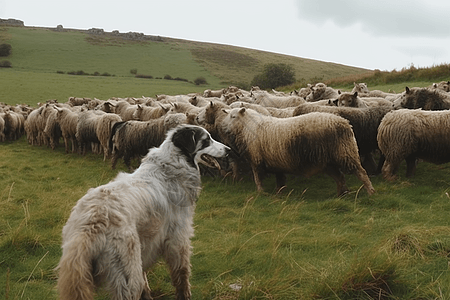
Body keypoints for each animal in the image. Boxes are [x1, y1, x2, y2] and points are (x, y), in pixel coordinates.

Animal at [56, 125, 230, 300]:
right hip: (128, 273)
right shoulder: (178, 238)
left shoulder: (146, 243)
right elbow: (182, 274)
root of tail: (92, 222)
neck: (173, 165)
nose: (229, 150)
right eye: (207, 140)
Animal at [220, 106, 374, 196]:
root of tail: (346, 123)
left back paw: (370, 192)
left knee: (361, 172)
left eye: (233, 116)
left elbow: (257, 178)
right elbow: (280, 179)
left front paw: (260, 192)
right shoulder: (275, 161)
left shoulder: (256, 159)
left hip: (345, 153)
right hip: (328, 162)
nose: (224, 129)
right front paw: (279, 192)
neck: (249, 126)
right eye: (228, 116)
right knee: (340, 177)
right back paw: (341, 194)